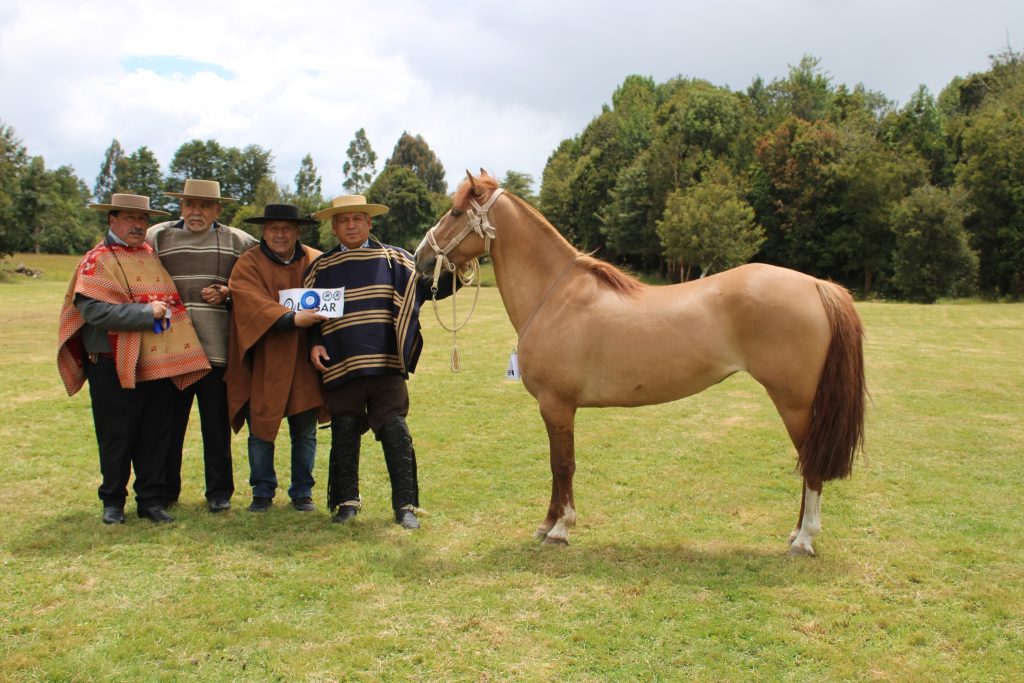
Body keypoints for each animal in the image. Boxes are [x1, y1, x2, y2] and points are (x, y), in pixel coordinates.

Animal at [415, 171, 866, 556]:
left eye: (455, 212)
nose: (420, 257)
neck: (555, 295)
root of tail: (816, 285)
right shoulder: (556, 408)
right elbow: (557, 467)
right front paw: (547, 525)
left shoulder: (557, 405)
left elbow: (563, 465)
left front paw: (560, 529)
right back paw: (796, 532)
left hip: (795, 404)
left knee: (811, 464)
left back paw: (804, 539)